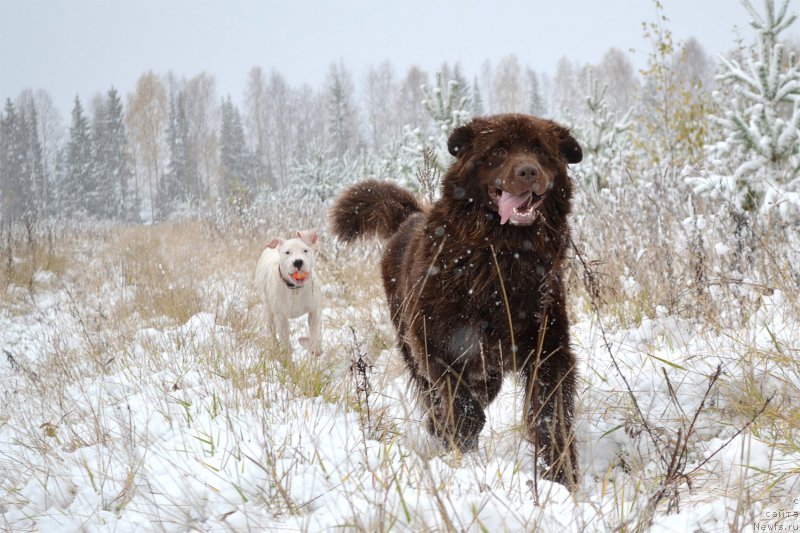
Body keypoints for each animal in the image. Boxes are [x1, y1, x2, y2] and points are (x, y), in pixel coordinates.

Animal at [328, 114, 584, 488]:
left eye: (540, 149)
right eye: (500, 149)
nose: (528, 171)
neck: (501, 258)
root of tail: (409, 217)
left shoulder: (548, 346)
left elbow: (551, 414)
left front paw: (561, 477)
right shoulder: (436, 344)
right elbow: (463, 408)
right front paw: (460, 447)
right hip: (409, 342)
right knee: (436, 394)